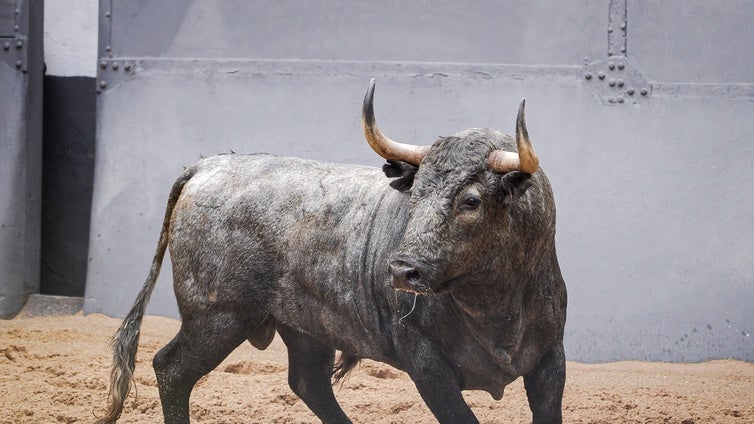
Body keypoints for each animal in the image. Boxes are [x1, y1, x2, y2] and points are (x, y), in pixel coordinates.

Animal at [95, 80, 564, 424]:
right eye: (416, 194)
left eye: (471, 201)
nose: (401, 271)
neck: (494, 306)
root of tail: (208, 166)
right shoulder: (427, 363)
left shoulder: (550, 360)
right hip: (218, 317)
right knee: (171, 369)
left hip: (303, 327)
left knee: (309, 383)